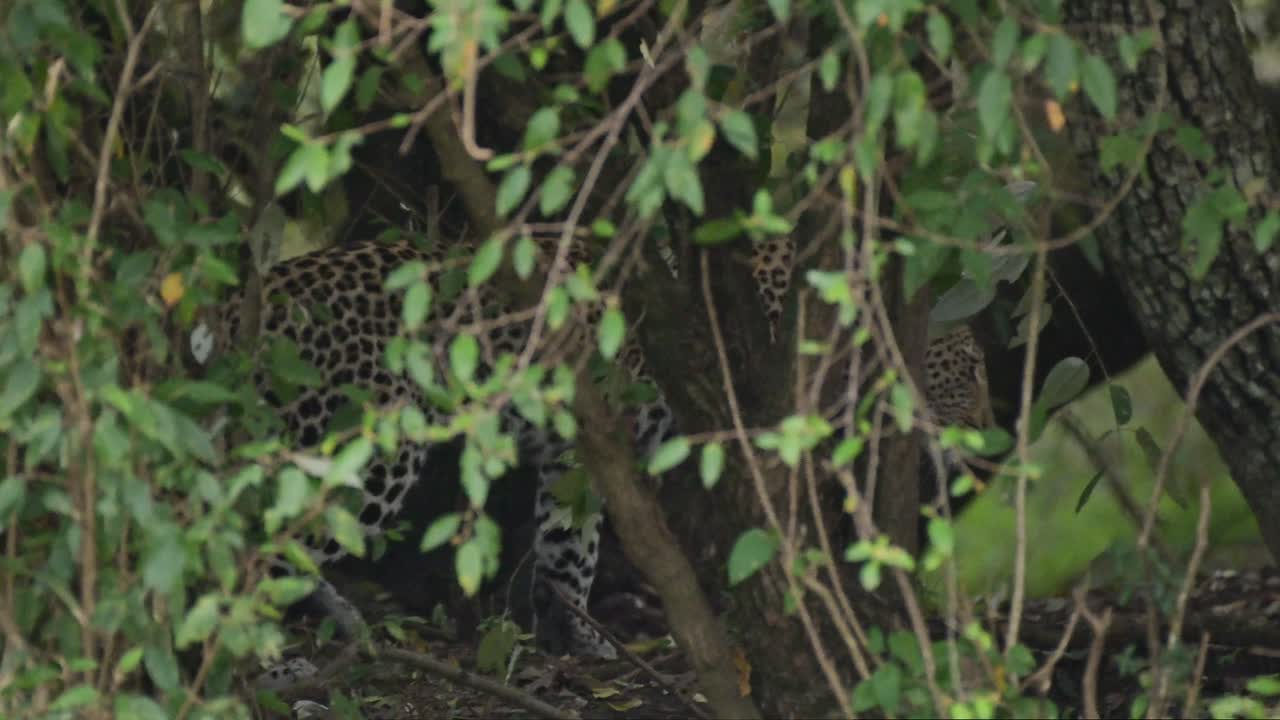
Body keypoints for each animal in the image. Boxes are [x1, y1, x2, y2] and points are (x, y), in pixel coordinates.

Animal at [191, 233, 992, 688]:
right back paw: (267, 666)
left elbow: (566, 547)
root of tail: (247, 302)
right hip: (358, 451)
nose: (991, 439)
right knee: (249, 550)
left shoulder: (577, 448)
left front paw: (574, 636)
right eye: (973, 369)